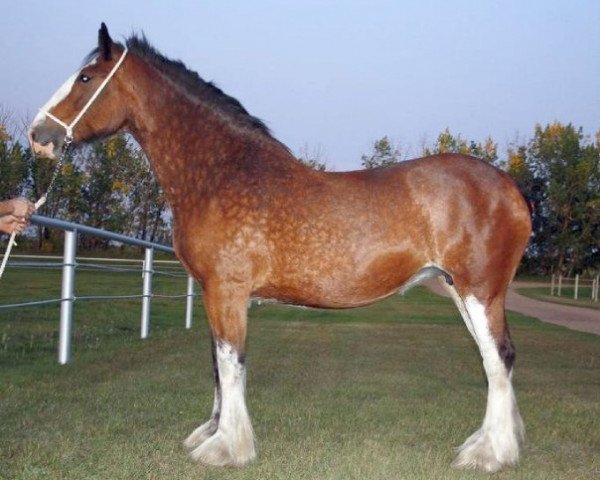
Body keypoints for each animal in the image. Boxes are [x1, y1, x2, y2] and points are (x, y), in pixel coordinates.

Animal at [30, 24, 532, 470]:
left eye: (85, 78)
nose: (38, 135)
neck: (222, 172)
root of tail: (511, 191)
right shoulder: (215, 293)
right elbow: (217, 363)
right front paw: (211, 433)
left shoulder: (227, 290)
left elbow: (231, 363)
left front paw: (226, 448)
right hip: (460, 291)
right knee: (494, 362)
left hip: (479, 291)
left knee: (499, 359)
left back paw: (490, 455)